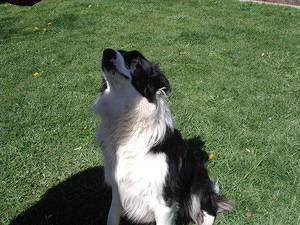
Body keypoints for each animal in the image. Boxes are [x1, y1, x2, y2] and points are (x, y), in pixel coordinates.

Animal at [92, 48, 234, 225]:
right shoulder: (118, 189)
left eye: (135, 60)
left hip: (197, 185)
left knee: (209, 210)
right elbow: (111, 216)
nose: (107, 52)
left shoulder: (164, 201)